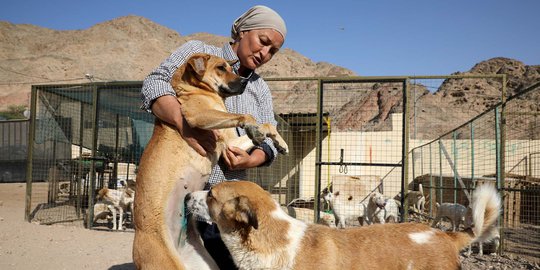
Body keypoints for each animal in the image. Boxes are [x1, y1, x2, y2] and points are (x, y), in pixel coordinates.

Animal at [133, 53, 288, 270]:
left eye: (230, 68)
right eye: (221, 68)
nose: (244, 81)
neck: (196, 89)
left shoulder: (230, 144)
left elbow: (267, 125)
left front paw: (281, 143)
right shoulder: (200, 118)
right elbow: (250, 118)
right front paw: (253, 127)